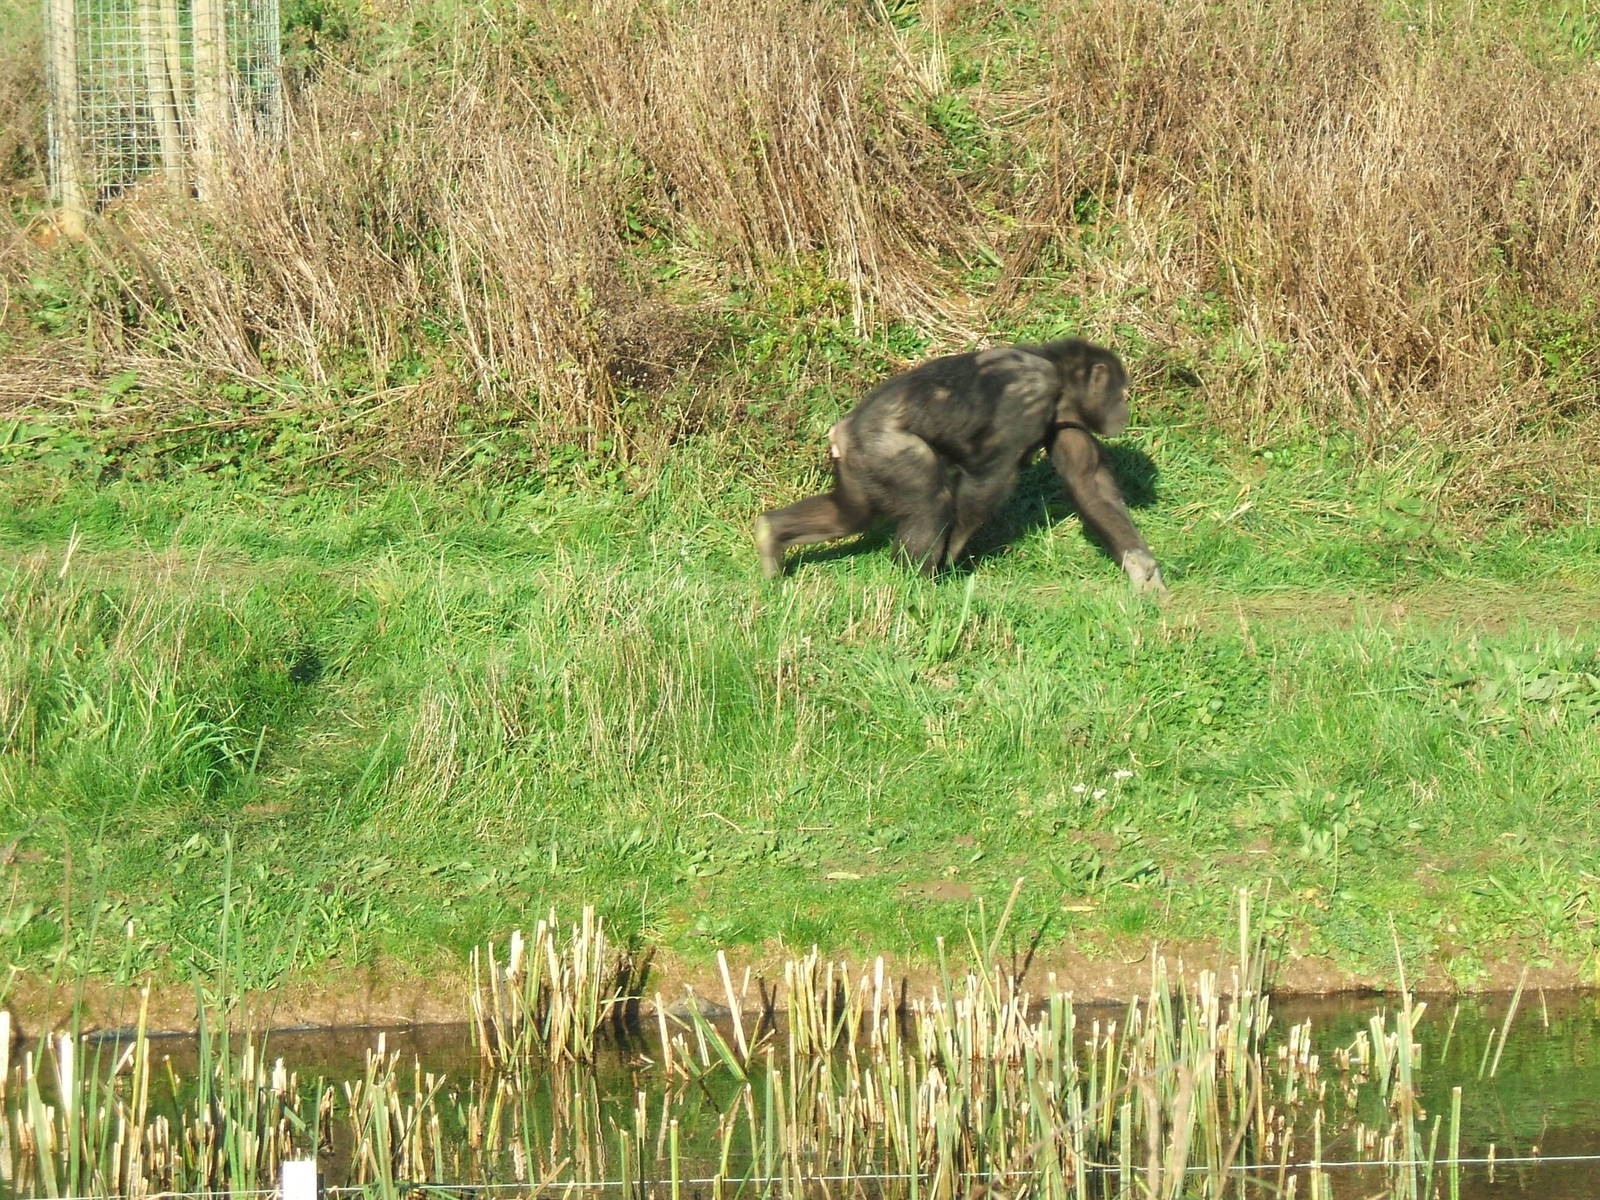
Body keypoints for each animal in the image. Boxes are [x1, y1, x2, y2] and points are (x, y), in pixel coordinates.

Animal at [754, 339, 1167, 595]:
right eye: (1120, 392)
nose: (1123, 411)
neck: (1059, 378)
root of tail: (841, 431)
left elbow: (1088, 482)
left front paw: (1144, 571)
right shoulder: (1026, 399)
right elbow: (988, 481)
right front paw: (950, 560)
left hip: (858, 467)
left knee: (849, 515)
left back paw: (771, 535)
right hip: (883, 450)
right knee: (929, 502)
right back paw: (916, 583)